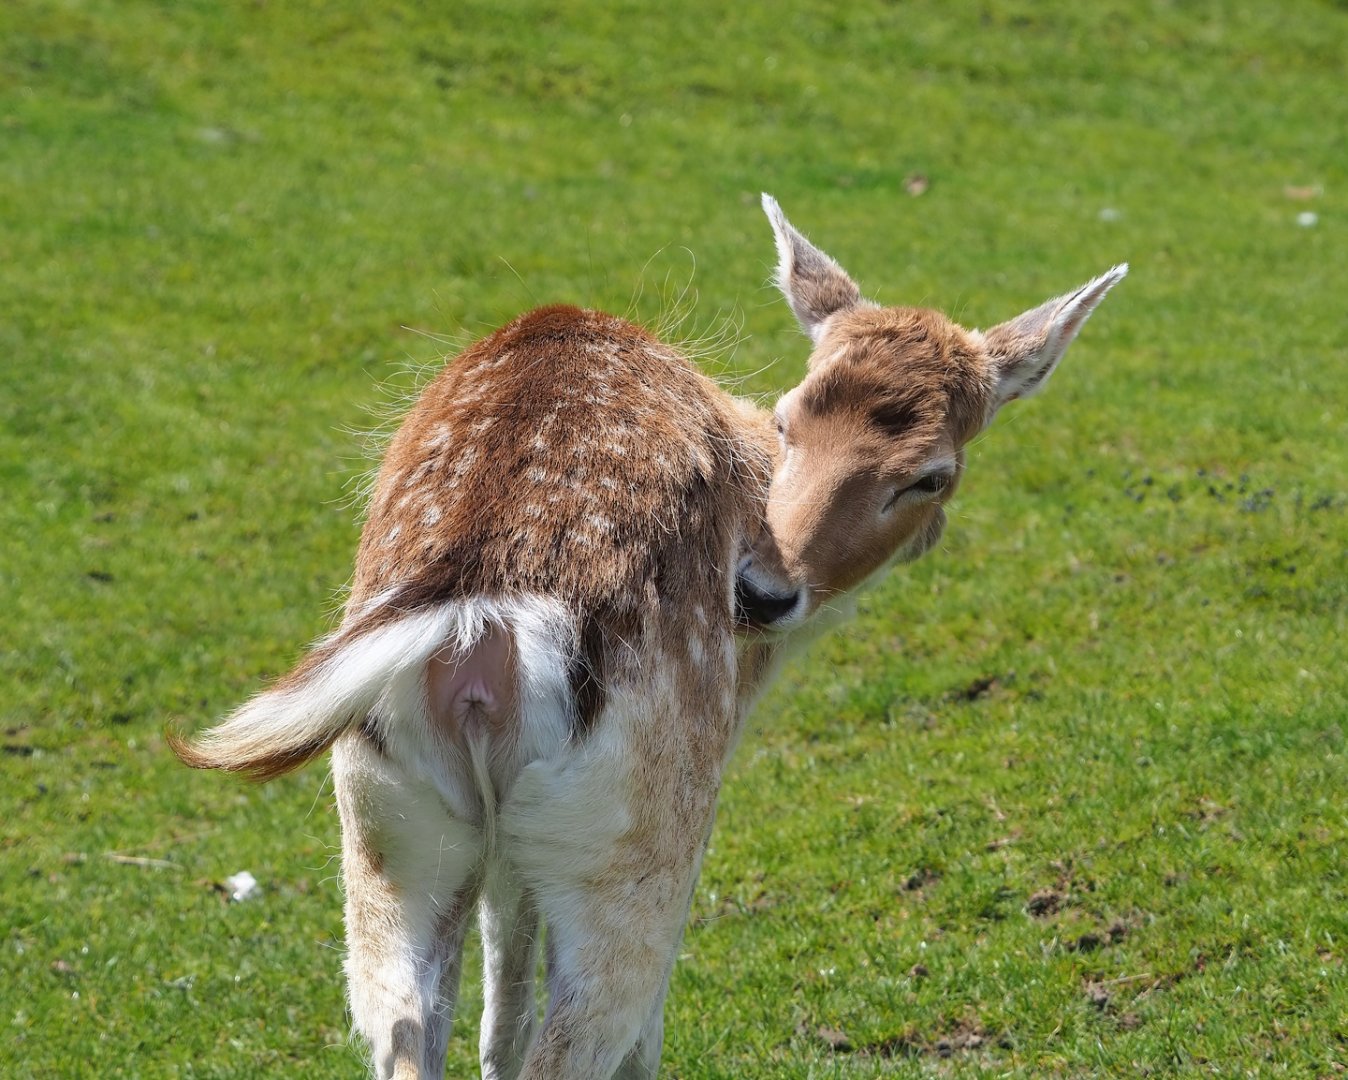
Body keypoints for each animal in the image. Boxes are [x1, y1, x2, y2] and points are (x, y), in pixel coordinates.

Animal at [171, 194, 1125, 1080]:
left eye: (929, 476)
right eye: (789, 419)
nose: (761, 593)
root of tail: (483, 625)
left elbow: (506, 975)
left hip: (388, 821)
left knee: (407, 1020)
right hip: (632, 829)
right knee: (590, 1030)